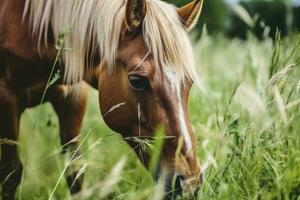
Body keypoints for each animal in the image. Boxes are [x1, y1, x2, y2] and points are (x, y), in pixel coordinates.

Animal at [0, 0, 204, 199]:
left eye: (189, 82)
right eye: (137, 81)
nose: (190, 183)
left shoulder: (74, 96)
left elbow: (75, 171)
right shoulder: (7, 99)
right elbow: (11, 174)